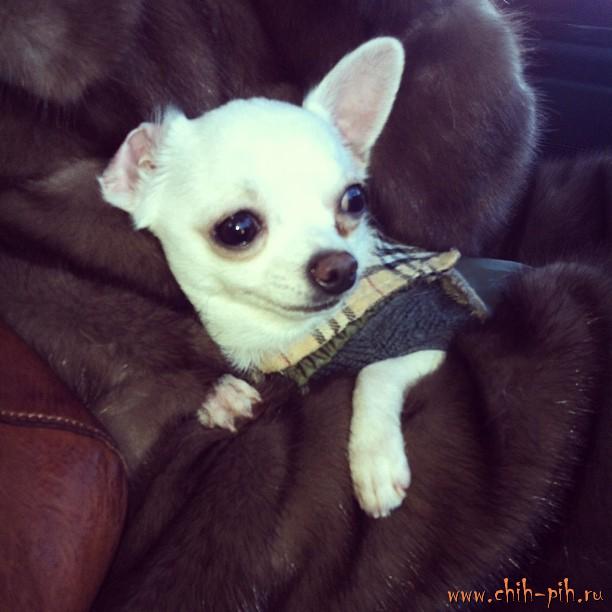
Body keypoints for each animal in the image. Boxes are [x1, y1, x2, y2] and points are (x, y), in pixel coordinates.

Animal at [99, 37, 485, 518]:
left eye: (355, 200)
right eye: (238, 229)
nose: (341, 267)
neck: (281, 337)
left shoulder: (432, 334)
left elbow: (374, 373)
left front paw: (374, 460)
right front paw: (219, 396)